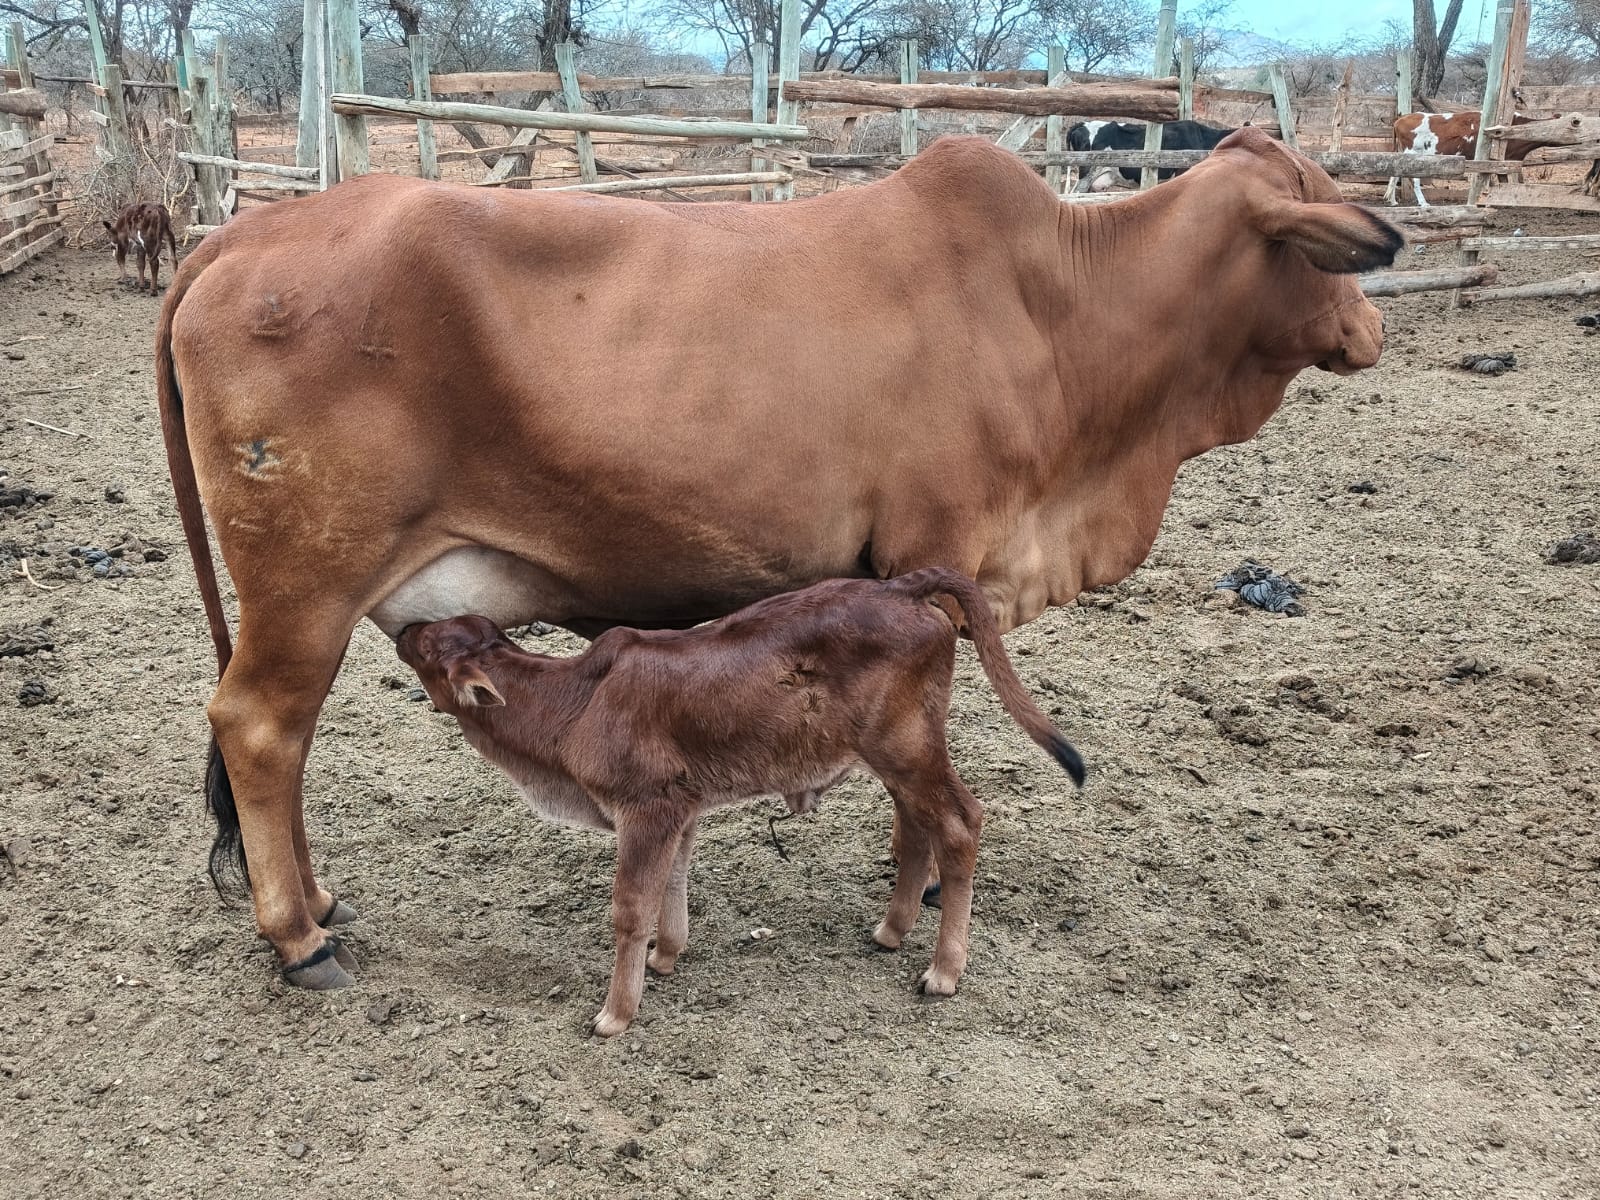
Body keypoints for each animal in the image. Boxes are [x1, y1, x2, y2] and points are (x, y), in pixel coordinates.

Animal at [396, 568, 1085, 1035]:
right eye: (441, 631)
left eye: (428, 648)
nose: (405, 628)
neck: (571, 705)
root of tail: (902, 589)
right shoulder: (678, 810)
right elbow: (672, 883)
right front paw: (667, 956)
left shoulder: (643, 808)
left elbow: (630, 907)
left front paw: (615, 1014)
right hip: (895, 756)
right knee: (916, 830)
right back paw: (891, 930)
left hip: (907, 748)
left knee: (960, 824)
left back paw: (943, 971)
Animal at [1384, 111, 1541, 207]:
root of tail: (1399, 120)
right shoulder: (1500, 161)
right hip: (1413, 153)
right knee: (1413, 179)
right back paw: (1423, 203)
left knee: (1395, 173)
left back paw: (1392, 200)